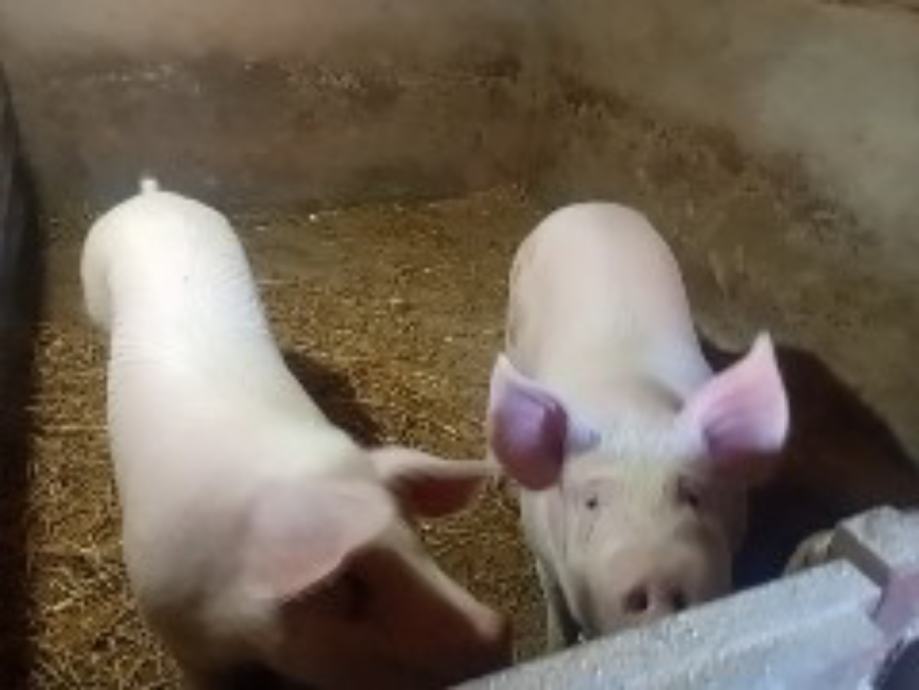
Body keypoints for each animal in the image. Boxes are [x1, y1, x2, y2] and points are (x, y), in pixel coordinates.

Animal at [485, 203, 789, 650]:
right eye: (592, 502)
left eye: (693, 495)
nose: (659, 580)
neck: (633, 411)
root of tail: (589, 206)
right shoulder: (539, 544)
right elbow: (557, 609)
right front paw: (555, 648)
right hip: (515, 316)